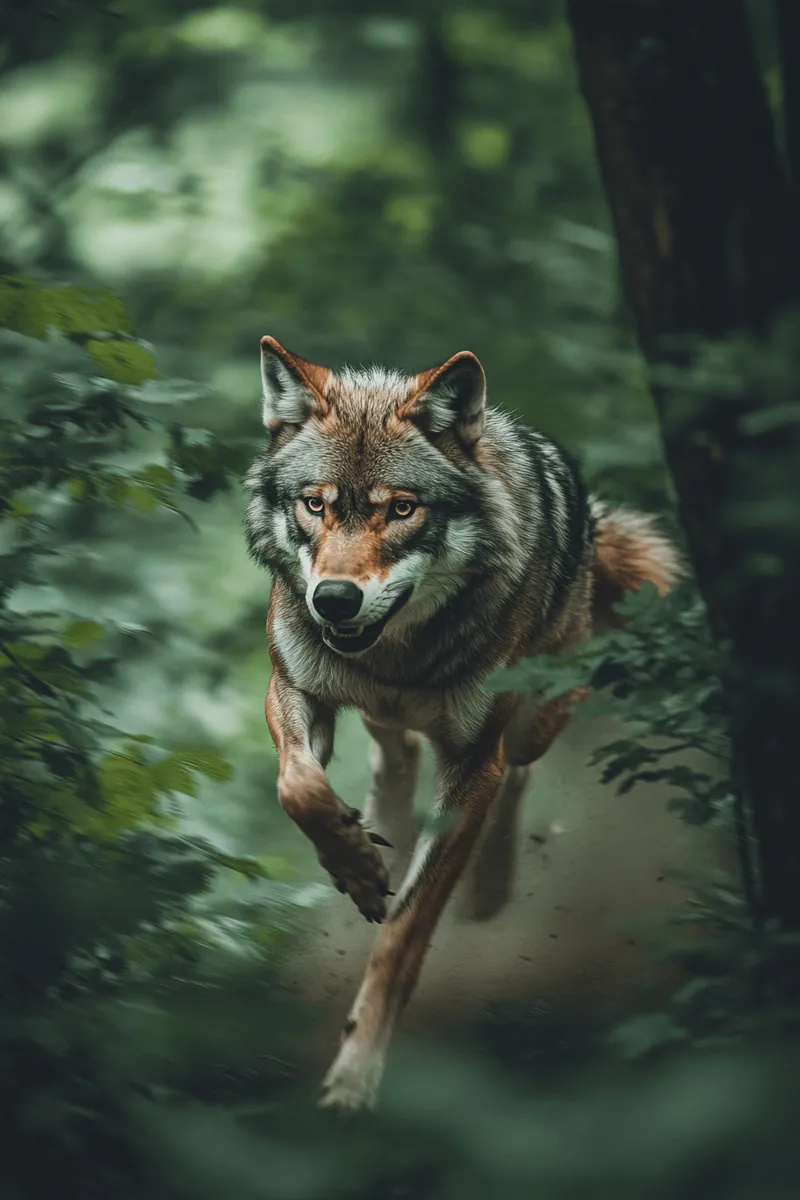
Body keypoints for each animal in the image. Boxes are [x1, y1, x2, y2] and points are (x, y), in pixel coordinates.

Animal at [244, 335, 680, 1112]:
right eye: (314, 504)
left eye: (402, 509)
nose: (333, 600)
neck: (397, 657)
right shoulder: (293, 688)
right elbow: (299, 789)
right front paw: (357, 866)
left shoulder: (473, 761)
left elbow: (404, 935)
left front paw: (356, 1073)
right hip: (374, 711)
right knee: (391, 753)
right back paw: (379, 826)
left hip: (535, 717)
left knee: (516, 775)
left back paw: (488, 887)